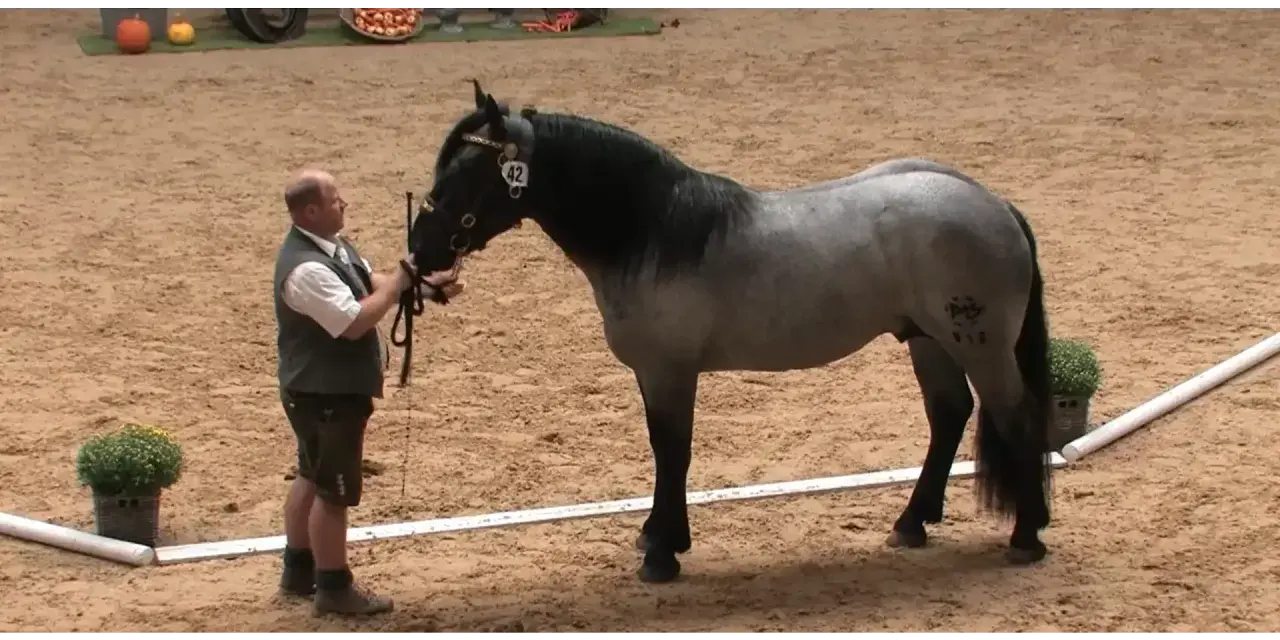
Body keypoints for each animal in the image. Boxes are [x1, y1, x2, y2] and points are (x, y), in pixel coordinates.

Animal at [402, 81, 1055, 584]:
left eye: (469, 171)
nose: (420, 251)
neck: (653, 232)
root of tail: (993, 203)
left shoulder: (669, 371)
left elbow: (672, 450)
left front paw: (663, 555)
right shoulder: (655, 374)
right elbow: (664, 449)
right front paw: (657, 536)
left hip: (979, 346)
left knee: (1016, 416)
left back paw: (1025, 537)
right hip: (928, 341)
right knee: (949, 415)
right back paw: (912, 524)